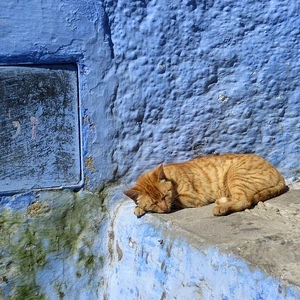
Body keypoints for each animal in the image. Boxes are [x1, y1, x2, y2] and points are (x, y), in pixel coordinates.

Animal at [123, 154, 286, 217]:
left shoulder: (191, 198)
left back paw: (222, 207)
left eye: (164, 196)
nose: (164, 209)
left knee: (245, 200)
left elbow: (175, 201)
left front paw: (140, 207)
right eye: (154, 203)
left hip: (236, 175)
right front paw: (138, 206)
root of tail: (281, 175)